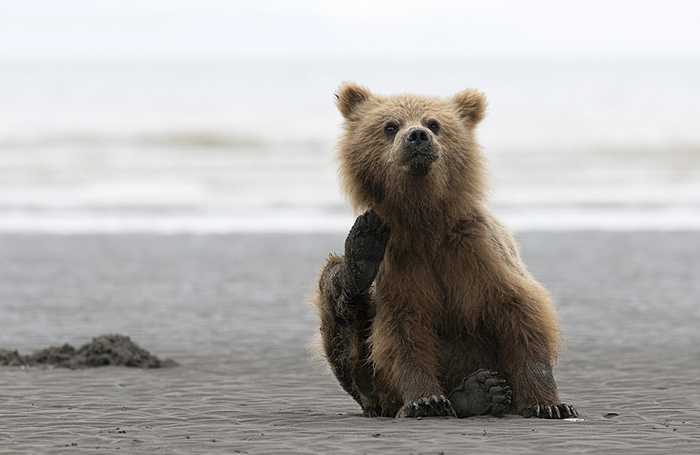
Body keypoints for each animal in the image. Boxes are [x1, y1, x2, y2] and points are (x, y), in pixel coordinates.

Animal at [314, 83, 576, 420]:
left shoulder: (477, 252)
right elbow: (403, 331)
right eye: (390, 126)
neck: (426, 223)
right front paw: (426, 401)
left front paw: (548, 403)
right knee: (335, 294)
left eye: (434, 123)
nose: (417, 136)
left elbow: (522, 312)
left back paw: (481, 391)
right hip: (372, 385)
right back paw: (361, 251)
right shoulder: (403, 262)